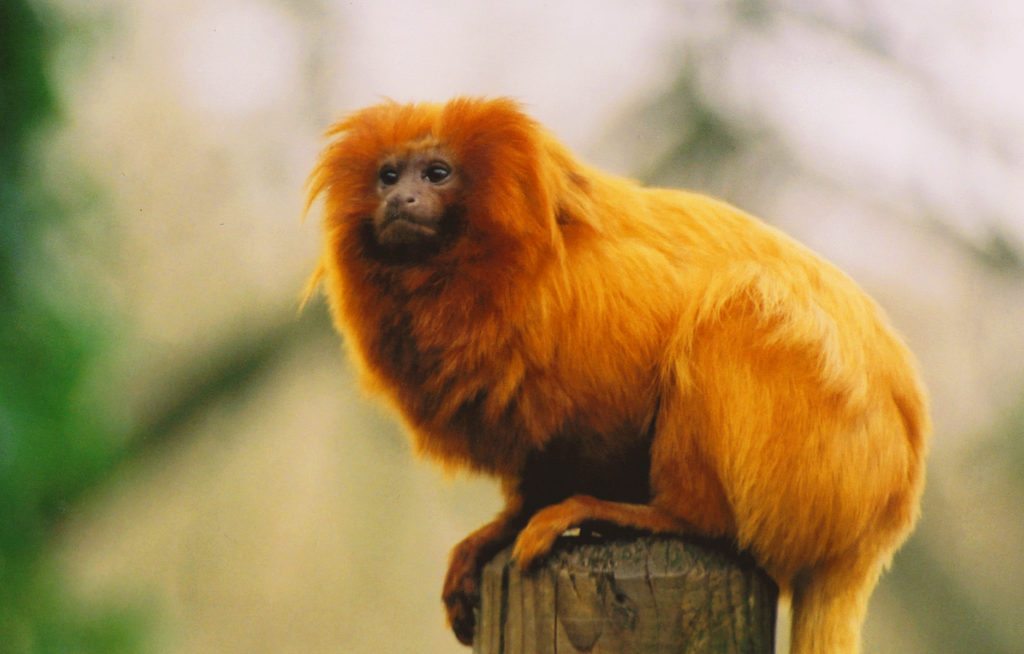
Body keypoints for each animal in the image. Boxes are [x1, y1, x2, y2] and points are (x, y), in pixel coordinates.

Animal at [305, 97, 929, 654]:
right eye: (388, 176)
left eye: (437, 174)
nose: (401, 199)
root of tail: (877, 526)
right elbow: (535, 468)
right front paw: (501, 529)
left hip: (820, 458)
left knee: (735, 313)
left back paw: (653, 516)